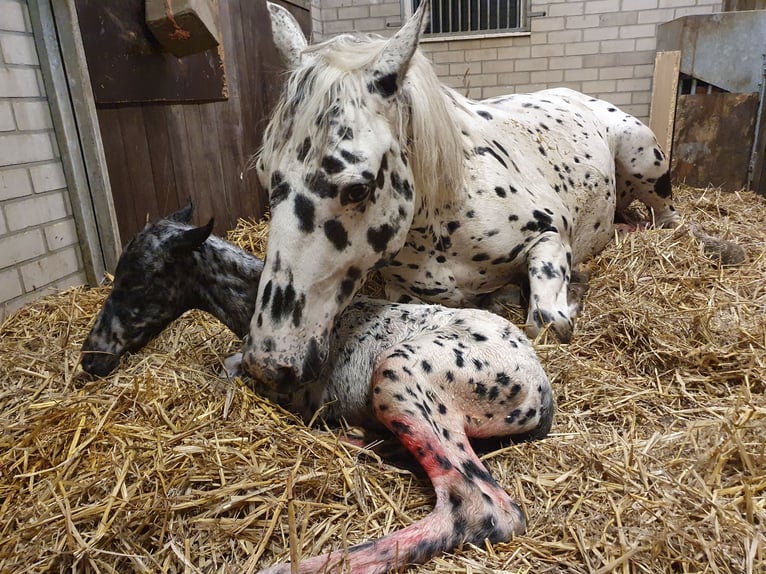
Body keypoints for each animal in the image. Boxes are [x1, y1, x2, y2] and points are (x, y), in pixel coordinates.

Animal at [80, 205, 554, 574]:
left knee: (484, 506)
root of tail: (540, 389)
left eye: (137, 279)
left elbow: (228, 376)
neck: (255, 311)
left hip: (400, 374)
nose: (90, 357)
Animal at [241, 0, 743, 388]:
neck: (445, 221)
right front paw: (500, 297)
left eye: (358, 188)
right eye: (266, 176)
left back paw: (722, 247)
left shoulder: (548, 236)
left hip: (643, 158)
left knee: (673, 222)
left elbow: (547, 320)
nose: (270, 362)